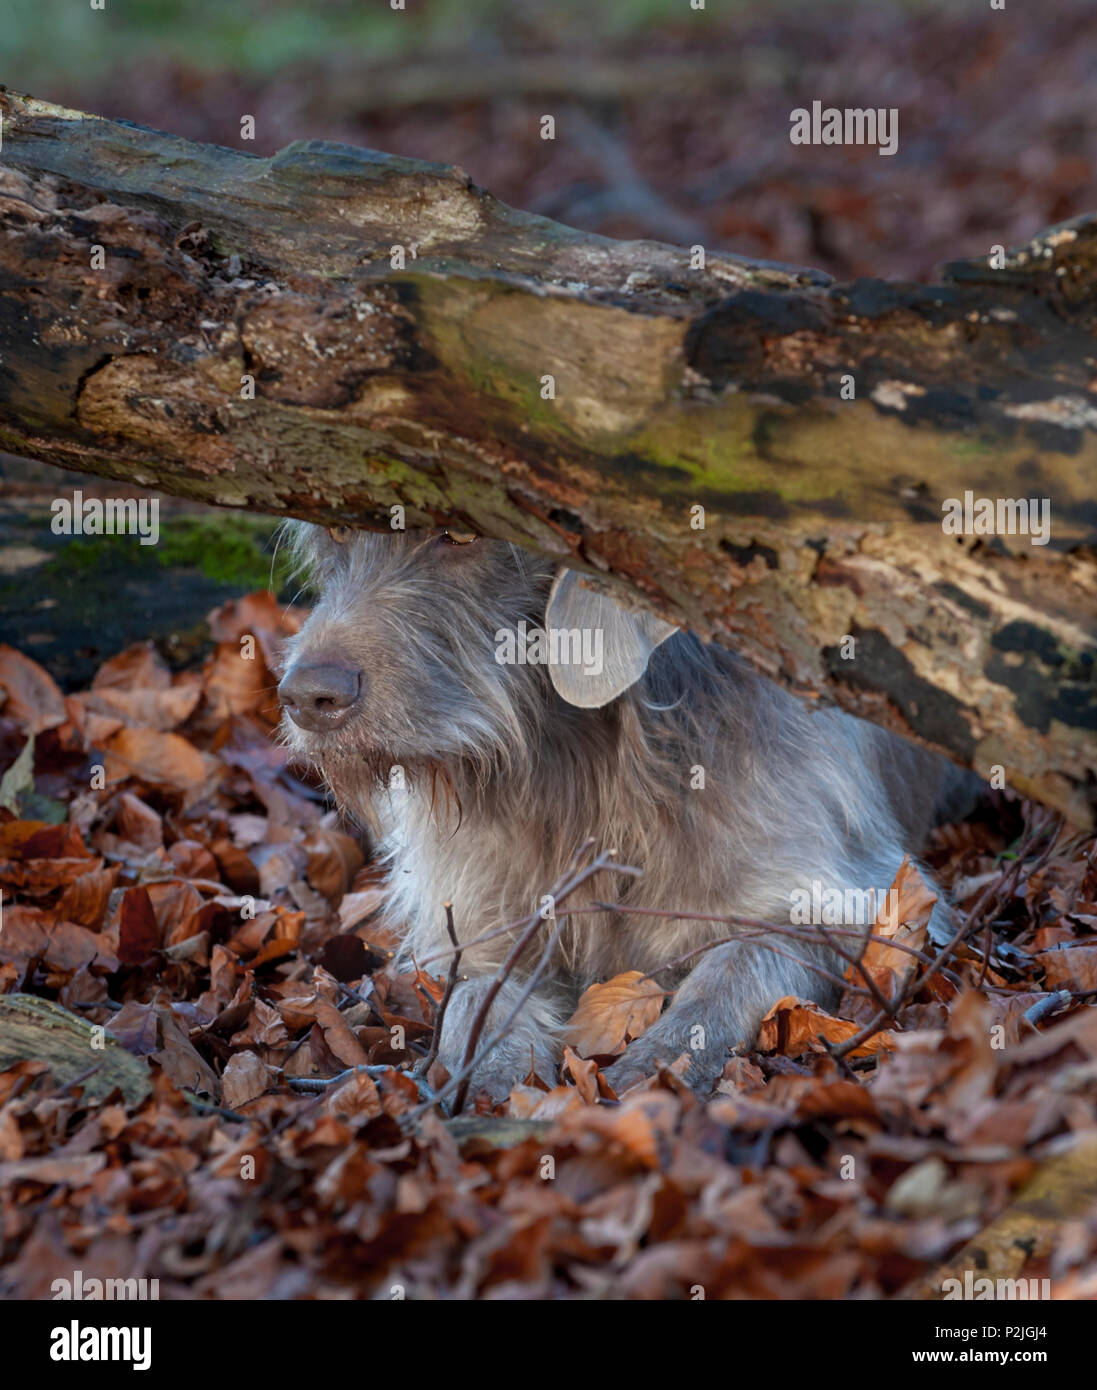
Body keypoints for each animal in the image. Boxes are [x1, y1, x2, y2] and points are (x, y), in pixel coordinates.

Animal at [278, 522, 973, 1095]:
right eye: (339, 527)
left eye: (461, 534)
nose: (307, 697)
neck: (574, 763)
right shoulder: (477, 926)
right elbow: (478, 996)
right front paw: (495, 1072)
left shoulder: (853, 897)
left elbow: (734, 968)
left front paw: (661, 1061)